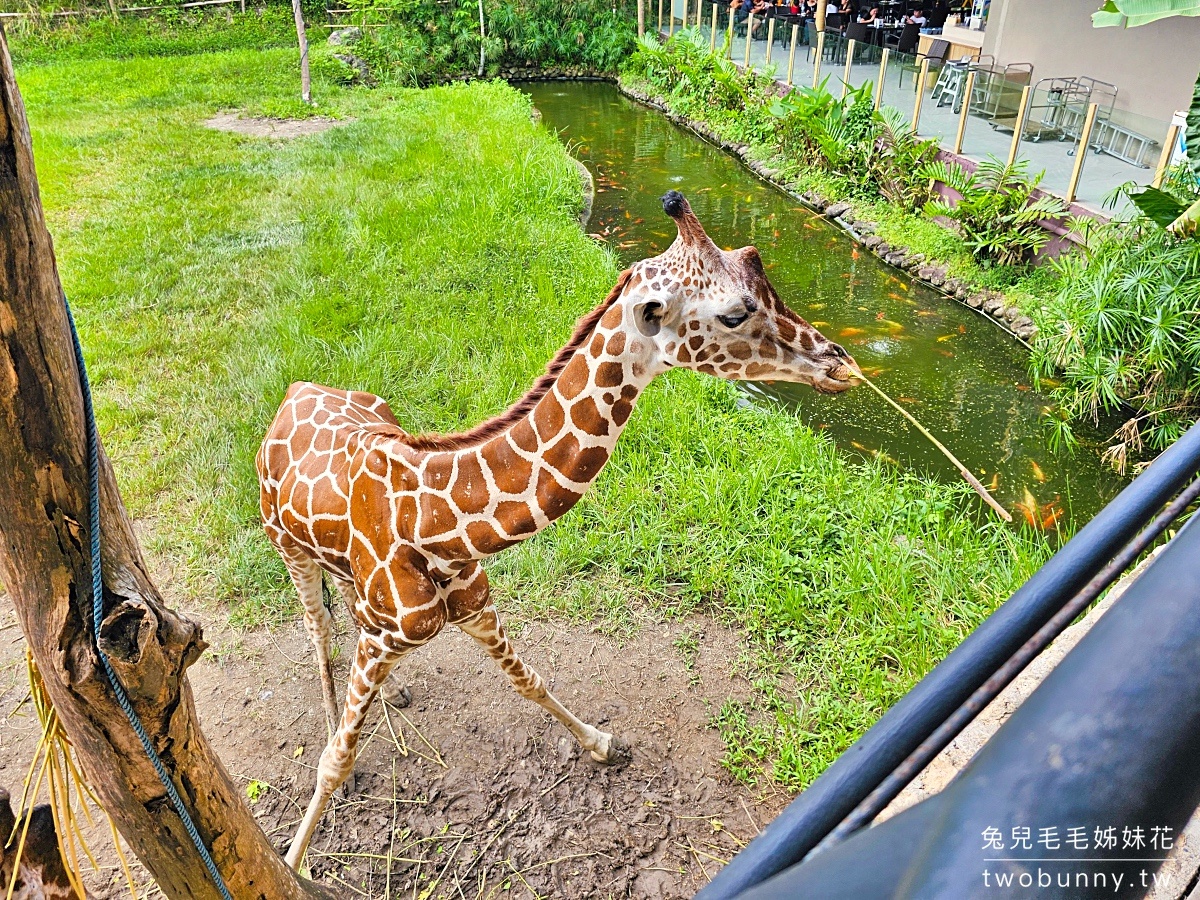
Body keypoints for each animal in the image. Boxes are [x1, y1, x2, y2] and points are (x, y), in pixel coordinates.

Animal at [258, 192, 859, 873]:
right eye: (735, 313)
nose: (841, 364)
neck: (438, 526)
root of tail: (294, 389)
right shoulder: (391, 629)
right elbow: (334, 760)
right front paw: (292, 864)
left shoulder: (475, 606)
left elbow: (530, 679)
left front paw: (604, 745)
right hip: (288, 548)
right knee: (317, 630)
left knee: (345, 614)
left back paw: (395, 695)